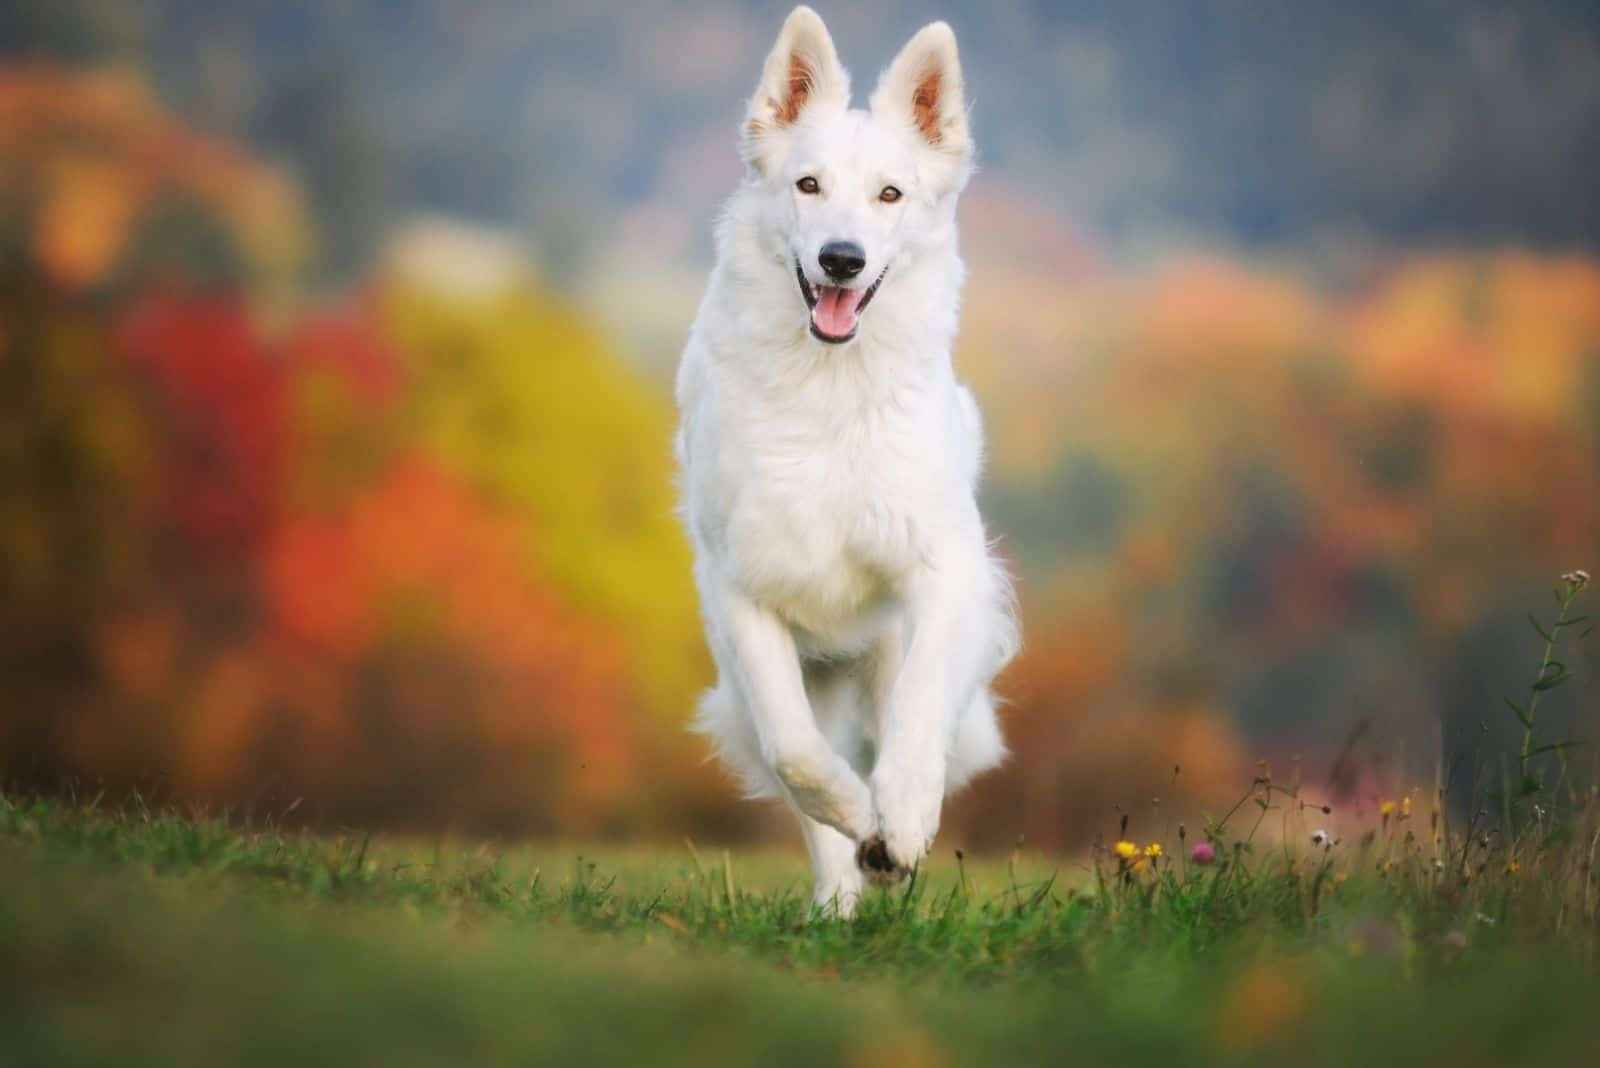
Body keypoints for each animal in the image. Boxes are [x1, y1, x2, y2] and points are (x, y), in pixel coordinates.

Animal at [672, 4, 1011, 914]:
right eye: (808, 186)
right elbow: (796, 754)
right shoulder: (743, 594)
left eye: (890, 194)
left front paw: (901, 819)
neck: (831, 389)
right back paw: (839, 900)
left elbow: (919, 716)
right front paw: (860, 820)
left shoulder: (942, 571)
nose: (842, 259)